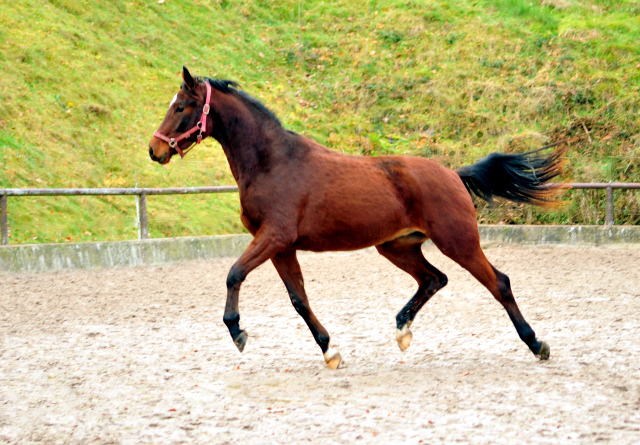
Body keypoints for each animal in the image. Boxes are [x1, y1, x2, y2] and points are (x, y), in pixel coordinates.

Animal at [149, 67, 564, 368]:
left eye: (181, 107)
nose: (155, 150)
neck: (272, 162)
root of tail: (453, 174)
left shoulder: (274, 237)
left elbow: (234, 274)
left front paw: (237, 332)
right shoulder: (282, 247)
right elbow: (299, 299)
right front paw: (330, 351)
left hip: (457, 241)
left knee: (499, 283)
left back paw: (536, 344)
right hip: (396, 247)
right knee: (434, 279)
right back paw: (402, 331)